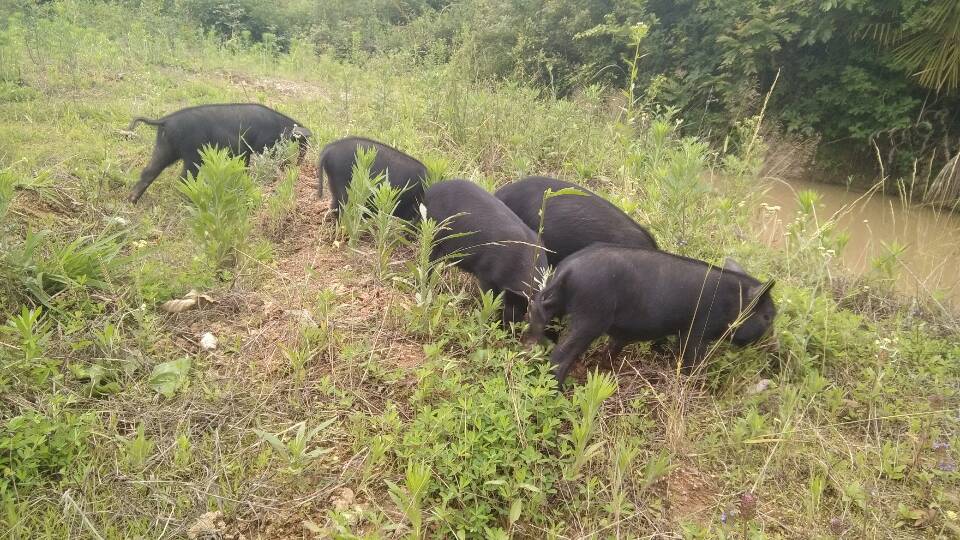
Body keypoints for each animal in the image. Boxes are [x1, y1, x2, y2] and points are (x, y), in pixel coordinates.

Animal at [127, 102, 312, 202]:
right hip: (192, 155)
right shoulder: (262, 146)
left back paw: (131, 200)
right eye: (302, 142)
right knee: (184, 177)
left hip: (164, 149)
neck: (281, 127)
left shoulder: (244, 152)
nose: (298, 164)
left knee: (148, 171)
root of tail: (165, 120)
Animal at [424, 179, 544, 326]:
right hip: (434, 233)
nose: (507, 327)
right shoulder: (486, 274)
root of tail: (431, 190)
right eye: (511, 307)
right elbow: (488, 297)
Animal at [528, 245, 776, 384]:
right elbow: (691, 359)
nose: (774, 347)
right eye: (768, 317)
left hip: (559, 303)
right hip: (591, 317)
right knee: (561, 355)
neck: (731, 302)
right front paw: (697, 382)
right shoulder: (696, 331)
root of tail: (567, 270)